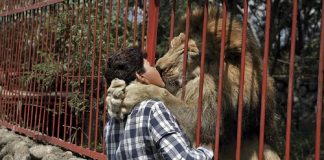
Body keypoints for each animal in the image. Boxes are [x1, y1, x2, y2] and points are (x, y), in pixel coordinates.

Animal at [107, 6, 280, 159]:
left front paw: (133, 92)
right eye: (173, 45)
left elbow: (165, 95)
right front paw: (113, 98)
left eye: (189, 52)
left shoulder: (206, 126)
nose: (159, 67)